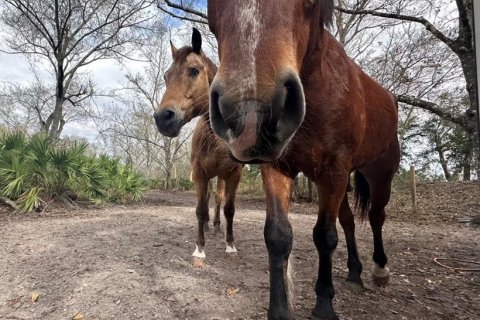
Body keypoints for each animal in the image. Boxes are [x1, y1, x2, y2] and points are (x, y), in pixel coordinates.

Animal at [155, 28, 244, 266]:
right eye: (166, 76)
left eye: (194, 71)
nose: (162, 118)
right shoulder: (199, 173)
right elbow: (200, 209)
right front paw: (199, 249)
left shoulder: (234, 175)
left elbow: (229, 209)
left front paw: (230, 245)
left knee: (219, 199)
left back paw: (216, 227)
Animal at [208, 1, 400, 318]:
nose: (251, 114)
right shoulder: (278, 168)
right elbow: (277, 236)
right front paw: (279, 310)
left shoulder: (334, 170)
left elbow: (325, 236)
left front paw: (324, 306)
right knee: (349, 220)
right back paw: (354, 274)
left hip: (378, 174)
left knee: (375, 216)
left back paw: (380, 269)